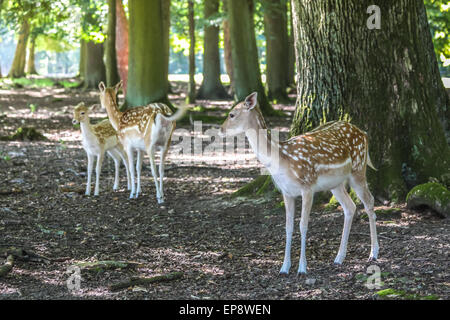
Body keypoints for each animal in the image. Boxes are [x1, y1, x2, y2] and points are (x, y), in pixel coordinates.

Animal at [218, 92, 380, 276]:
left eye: (232, 114)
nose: (220, 130)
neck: (282, 158)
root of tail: (364, 133)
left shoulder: (307, 186)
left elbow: (303, 225)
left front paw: (302, 268)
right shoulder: (286, 191)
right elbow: (288, 227)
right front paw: (284, 268)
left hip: (358, 170)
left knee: (369, 201)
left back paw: (373, 253)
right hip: (336, 184)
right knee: (350, 207)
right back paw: (339, 257)